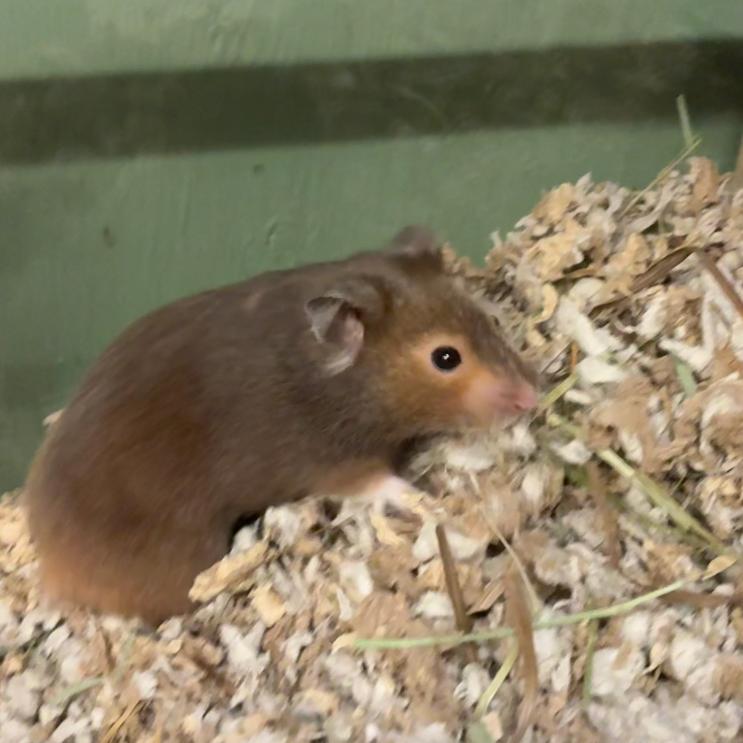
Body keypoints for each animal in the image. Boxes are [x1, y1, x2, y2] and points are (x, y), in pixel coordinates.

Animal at [24, 226, 538, 625]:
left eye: (488, 320)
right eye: (446, 358)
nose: (531, 397)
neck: (341, 381)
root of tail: (47, 565)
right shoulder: (333, 462)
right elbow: (380, 483)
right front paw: (428, 500)